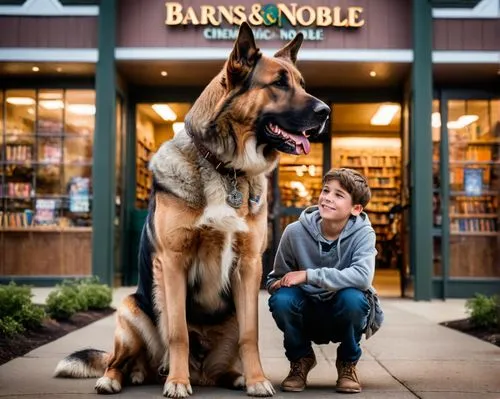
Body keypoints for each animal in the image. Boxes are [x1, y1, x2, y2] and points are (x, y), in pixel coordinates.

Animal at [54, 23, 330, 398]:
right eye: (279, 83)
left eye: (301, 84)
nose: (326, 111)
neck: (227, 168)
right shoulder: (174, 262)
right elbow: (178, 332)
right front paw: (177, 382)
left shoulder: (249, 267)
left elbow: (251, 335)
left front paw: (257, 380)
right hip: (130, 309)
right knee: (120, 359)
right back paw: (121, 377)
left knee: (221, 362)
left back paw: (233, 376)